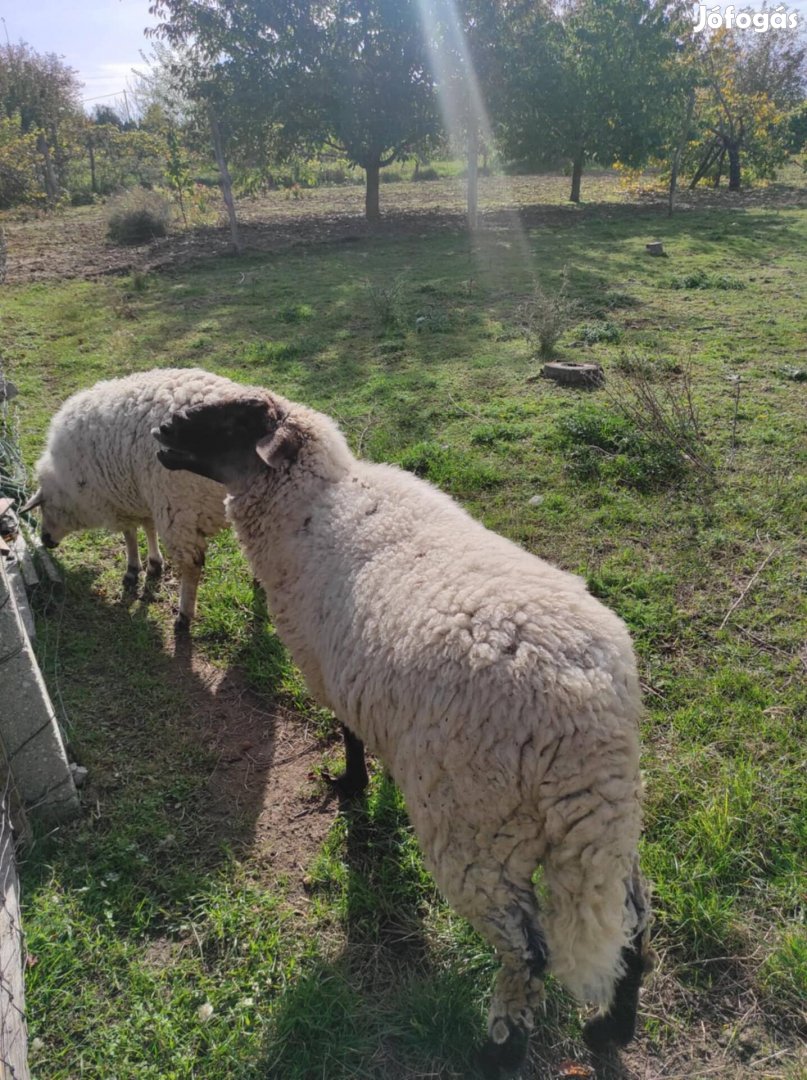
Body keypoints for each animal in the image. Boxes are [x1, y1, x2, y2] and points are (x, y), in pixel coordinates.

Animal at [21, 369, 239, 630]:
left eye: (44, 506)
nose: (45, 540)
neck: (69, 485)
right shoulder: (141, 495)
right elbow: (149, 527)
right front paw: (154, 564)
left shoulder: (119, 499)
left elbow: (130, 535)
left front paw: (133, 568)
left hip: (179, 510)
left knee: (191, 566)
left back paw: (184, 614)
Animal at [153, 386, 656, 1071]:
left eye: (229, 421)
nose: (160, 431)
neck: (310, 503)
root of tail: (585, 720)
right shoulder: (372, 689)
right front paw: (378, 784)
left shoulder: (328, 670)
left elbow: (349, 736)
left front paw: (351, 787)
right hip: (604, 828)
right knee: (635, 926)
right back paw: (611, 1032)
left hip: (477, 833)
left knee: (527, 954)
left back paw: (498, 1051)